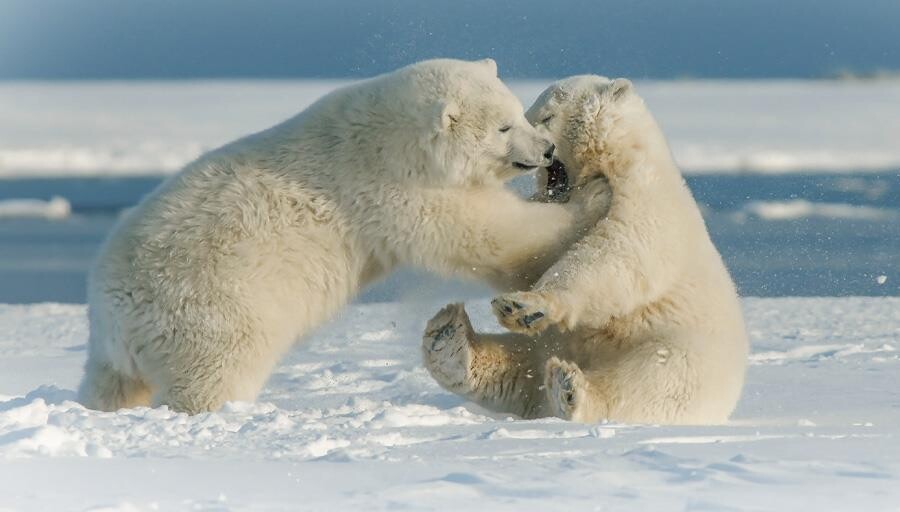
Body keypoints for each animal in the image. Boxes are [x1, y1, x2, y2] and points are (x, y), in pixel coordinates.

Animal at [81, 60, 608, 414]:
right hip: (213, 311)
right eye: (503, 126)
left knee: (111, 385)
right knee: (213, 375)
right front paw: (595, 196)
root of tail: (113, 312)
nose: (547, 149)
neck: (388, 138)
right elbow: (489, 233)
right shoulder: (391, 188)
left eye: (521, 112)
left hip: (125, 349)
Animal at [426, 73, 748, 424]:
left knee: (651, 381)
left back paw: (569, 390)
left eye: (546, 116)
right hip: (550, 345)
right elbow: (530, 252)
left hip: (677, 350)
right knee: (520, 367)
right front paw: (512, 304)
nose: (540, 151)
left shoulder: (646, 198)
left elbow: (617, 252)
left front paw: (525, 305)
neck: (616, 160)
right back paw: (449, 340)